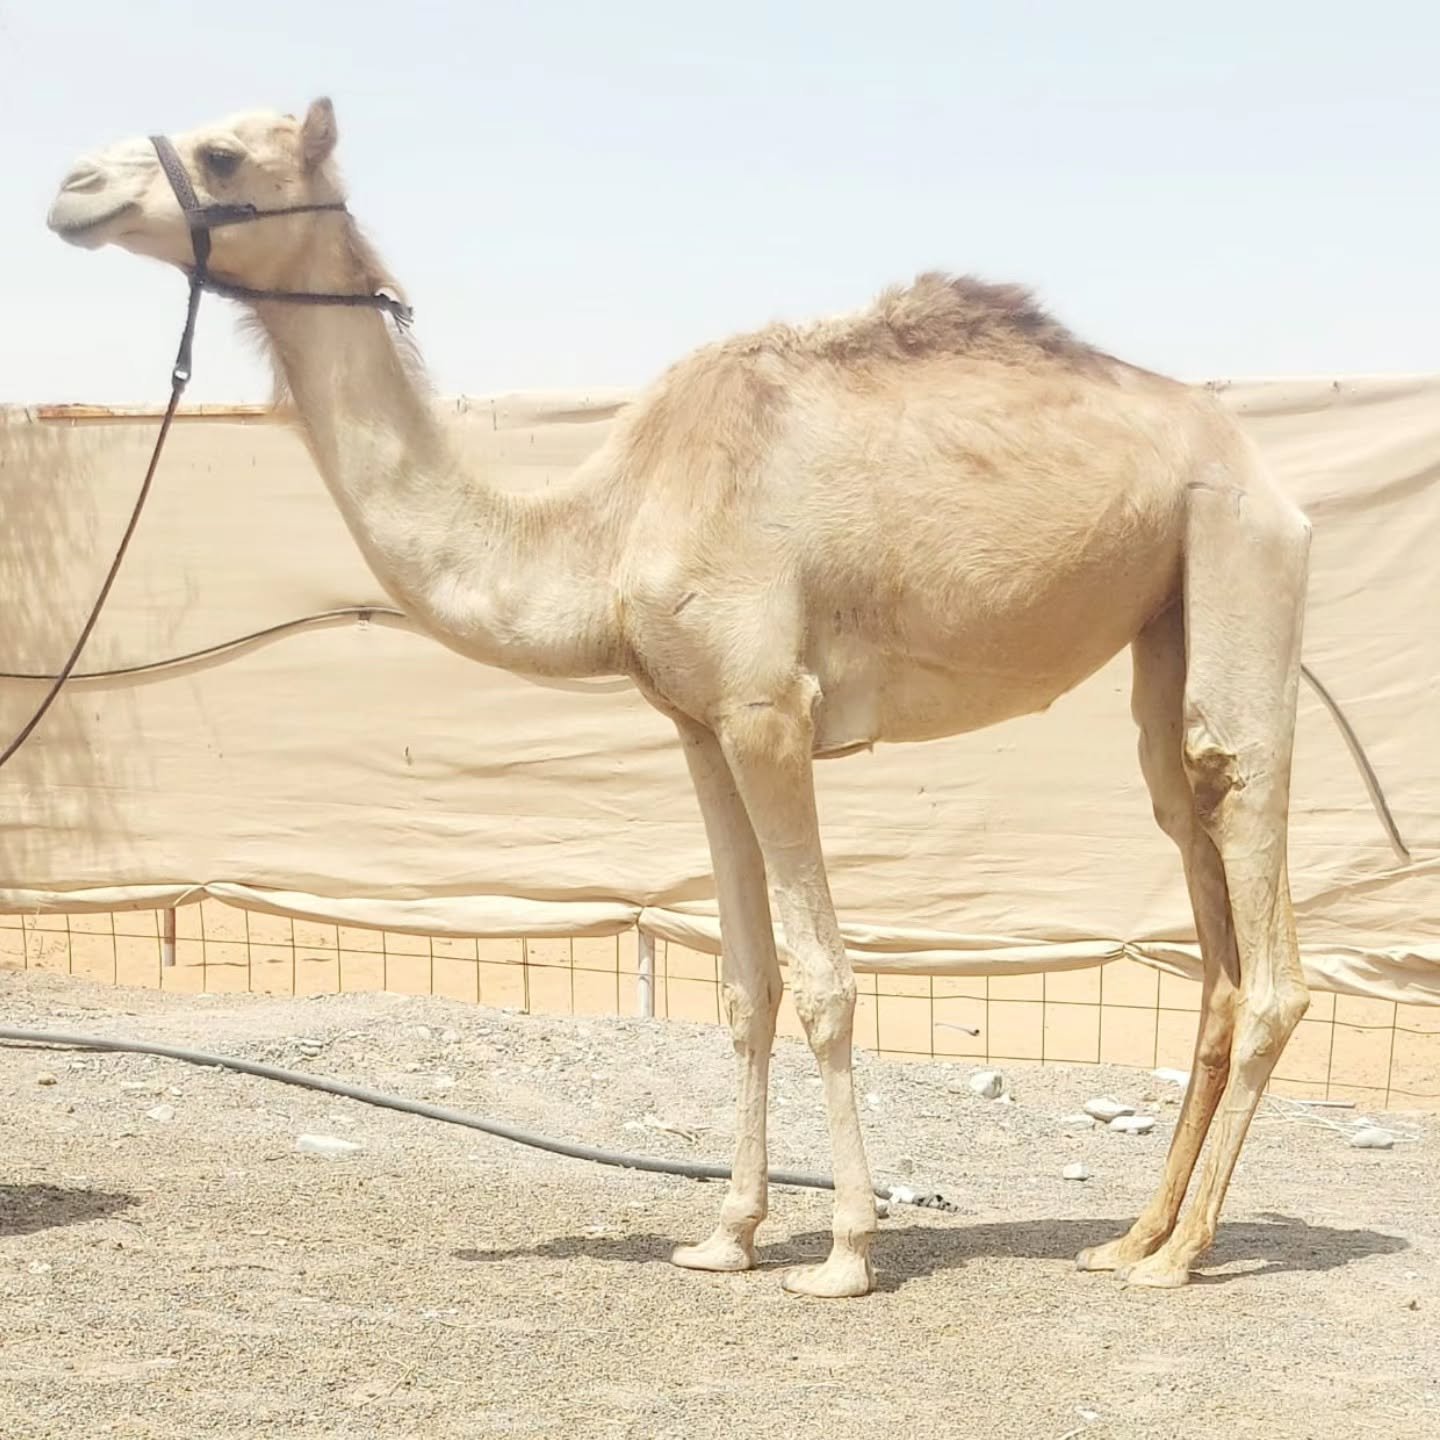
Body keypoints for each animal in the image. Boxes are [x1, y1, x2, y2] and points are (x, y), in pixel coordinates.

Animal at [46, 98, 1313, 1299]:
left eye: (222, 153)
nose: (69, 187)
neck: (604, 530)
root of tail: (1258, 465)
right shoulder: (698, 726)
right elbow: (747, 983)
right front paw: (726, 1234)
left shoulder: (767, 709)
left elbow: (826, 980)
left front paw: (844, 1251)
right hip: (1163, 605)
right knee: (1186, 835)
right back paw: (1129, 1235)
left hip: (1238, 542)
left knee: (1247, 839)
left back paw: (1179, 1253)